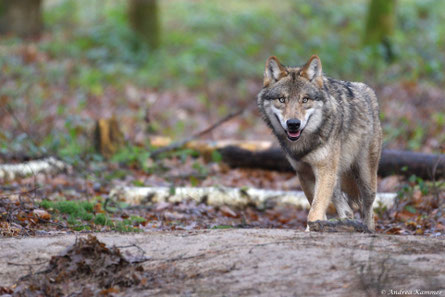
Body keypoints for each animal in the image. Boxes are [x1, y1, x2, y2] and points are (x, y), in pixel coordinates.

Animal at [256, 55, 382, 230]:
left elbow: (315, 210)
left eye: (305, 100)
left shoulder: (324, 171)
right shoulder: (304, 173)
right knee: (348, 210)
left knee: (369, 209)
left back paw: (367, 229)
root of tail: (368, 90)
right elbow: (316, 208)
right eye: (282, 99)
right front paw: (316, 227)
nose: (293, 124)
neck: (304, 144)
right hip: (335, 179)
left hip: (364, 179)